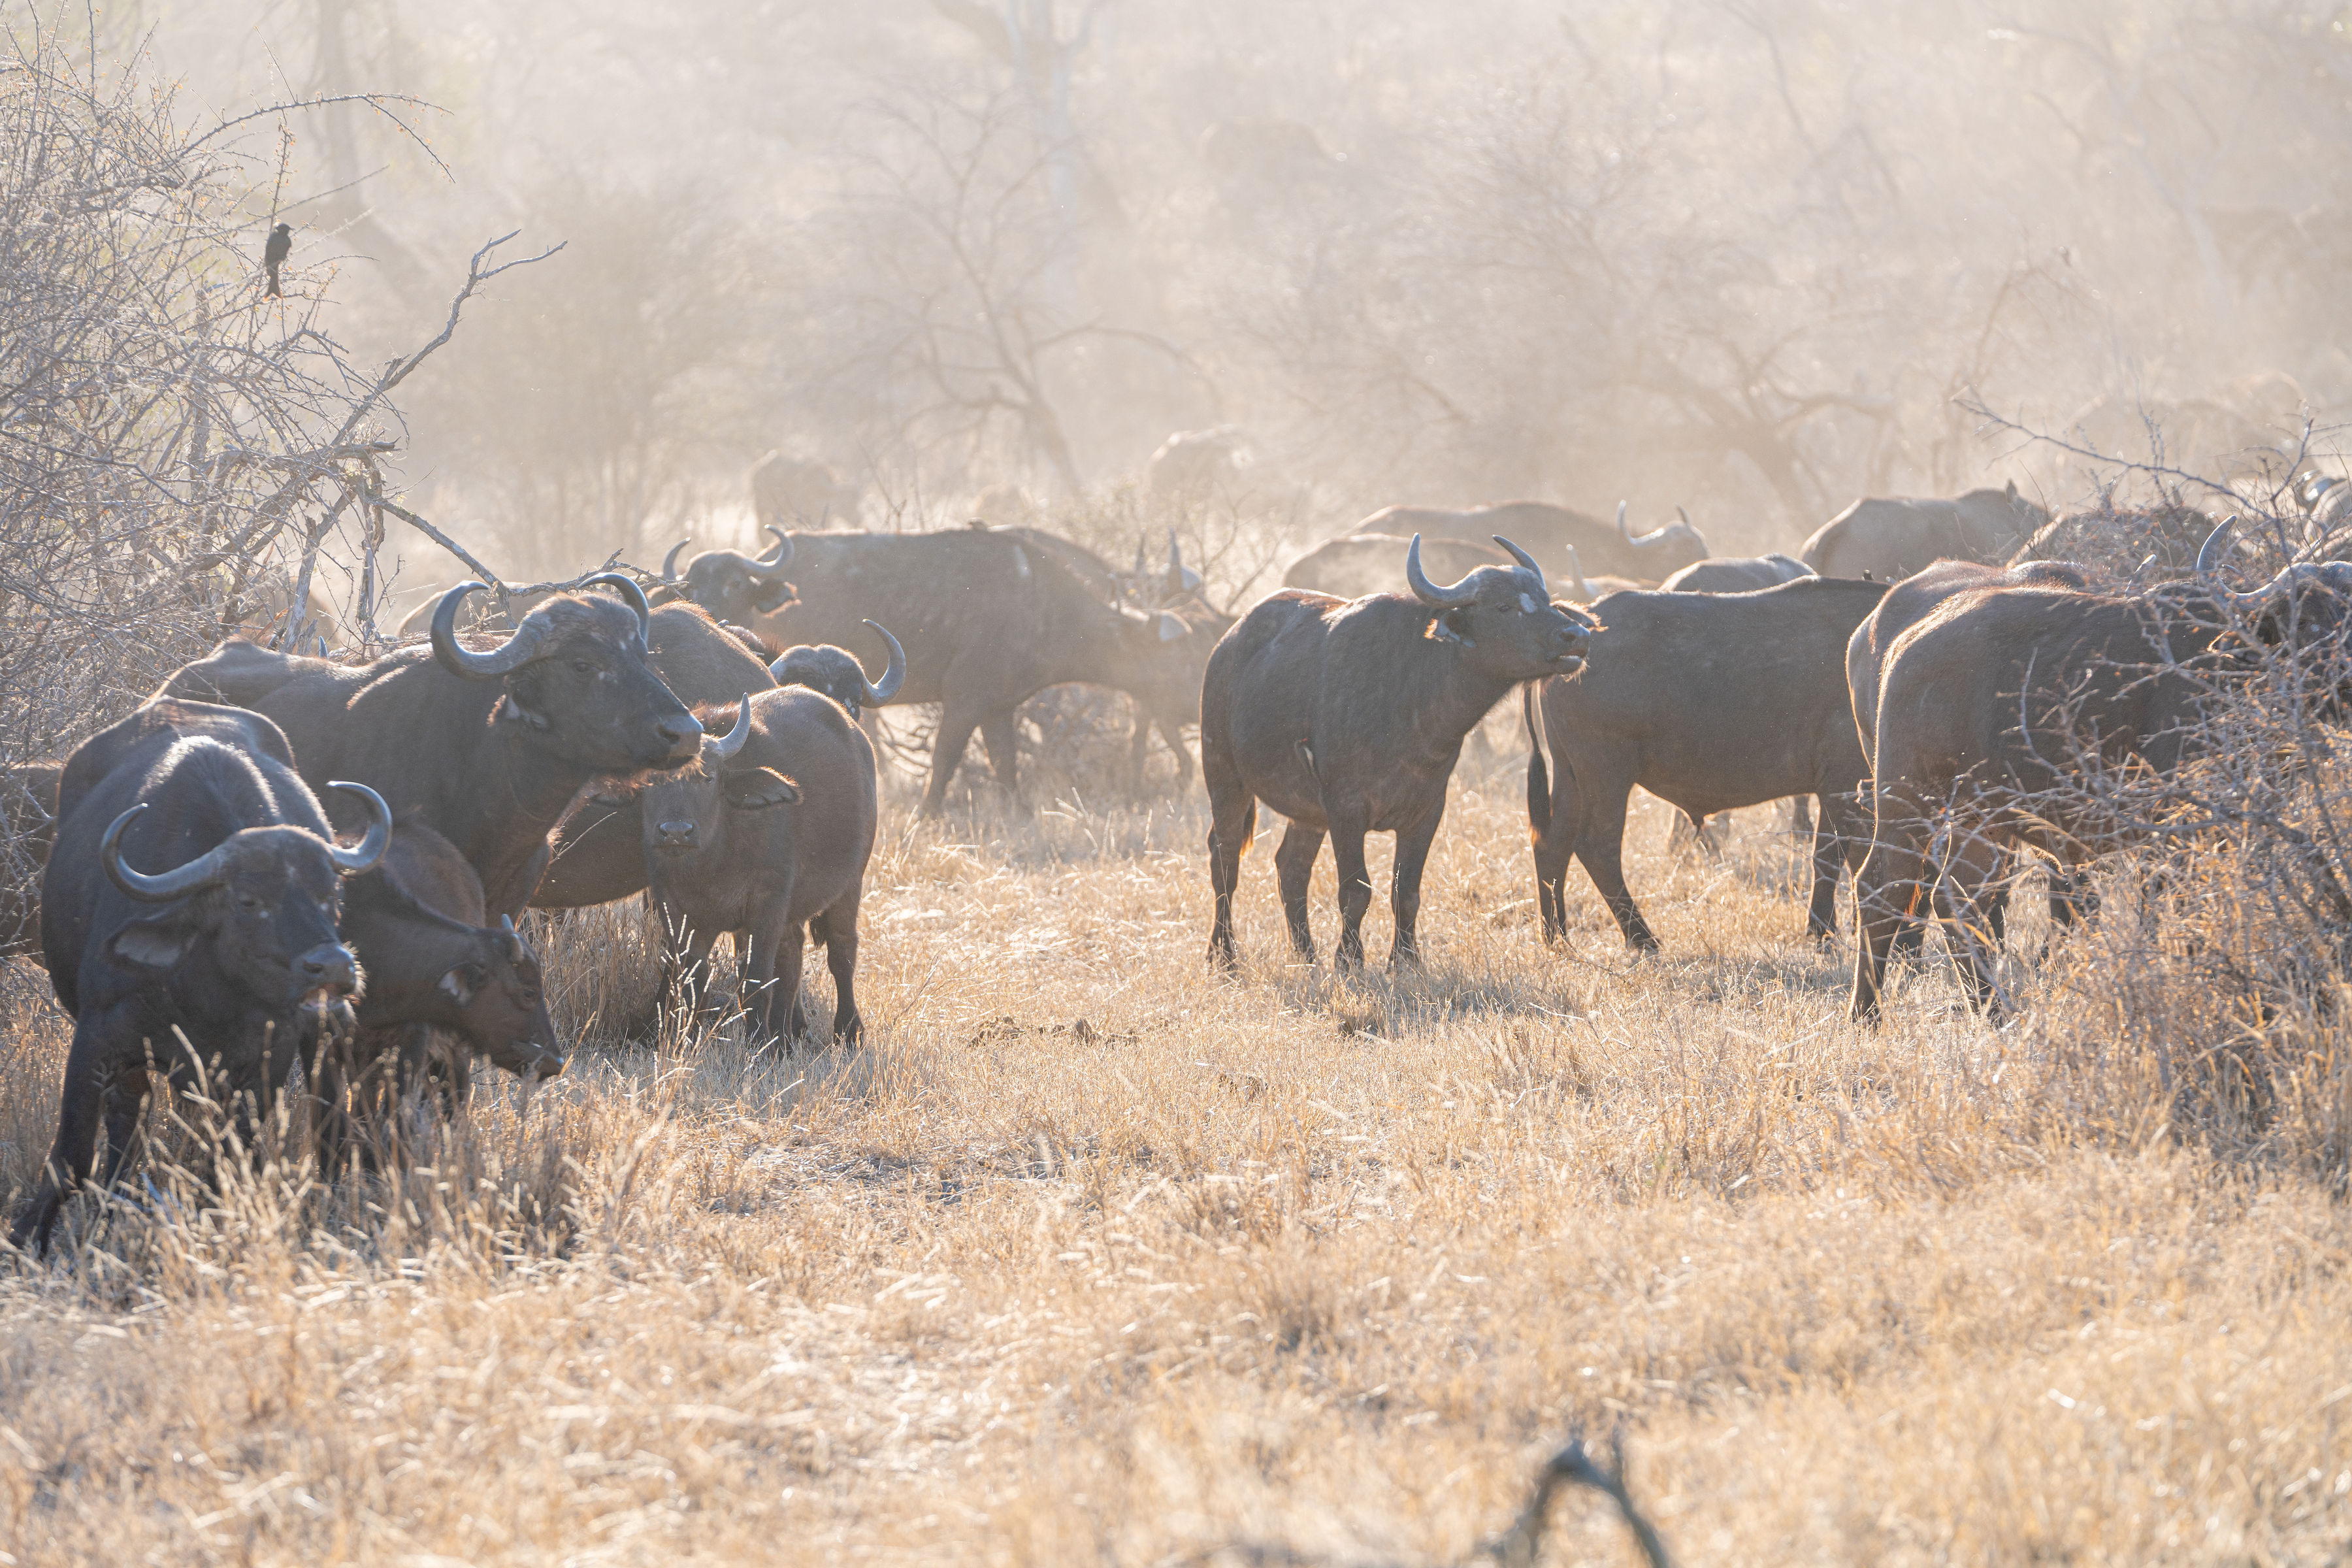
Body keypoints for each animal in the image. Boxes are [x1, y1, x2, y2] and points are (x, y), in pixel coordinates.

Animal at [14, 700, 390, 1253]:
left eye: (331, 896)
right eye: (249, 901)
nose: (337, 967)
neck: (204, 992)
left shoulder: (264, 1057)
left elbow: (233, 1158)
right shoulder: (96, 1038)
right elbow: (71, 1160)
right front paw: (26, 1240)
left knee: (324, 1118)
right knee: (127, 1121)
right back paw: (113, 1201)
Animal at [637, 689, 879, 1044]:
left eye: (708, 778)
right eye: (651, 780)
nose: (676, 832)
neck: (712, 862)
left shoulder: (766, 904)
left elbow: (756, 980)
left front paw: (756, 1043)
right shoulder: (675, 910)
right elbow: (693, 980)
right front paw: (688, 1039)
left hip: (850, 884)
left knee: (841, 951)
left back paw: (848, 1031)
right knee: (792, 954)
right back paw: (789, 1034)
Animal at [1205, 536, 1593, 969]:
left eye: (1545, 599)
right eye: (1504, 607)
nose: (1577, 635)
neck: (1411, 700)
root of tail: (1225, 648)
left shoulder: (1427, 811)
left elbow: (1405, 891)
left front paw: (1406, 959)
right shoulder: (1345, 808)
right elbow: (1356, 891)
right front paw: (1349, 960)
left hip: (1307, 813)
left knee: (1291, 868)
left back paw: (1306, 955)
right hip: (1224, 777)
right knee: (1224, 861)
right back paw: (1223, 954)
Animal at [1524, 577, 1888, 951]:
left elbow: (1860, 859)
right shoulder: (1840, 782)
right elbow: (1831, 857)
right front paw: (1824, 930)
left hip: (1569, 773)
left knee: (1552, 842)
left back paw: (1556, 935)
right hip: (1606, 772)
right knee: (1597, 845)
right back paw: (1641, 937)